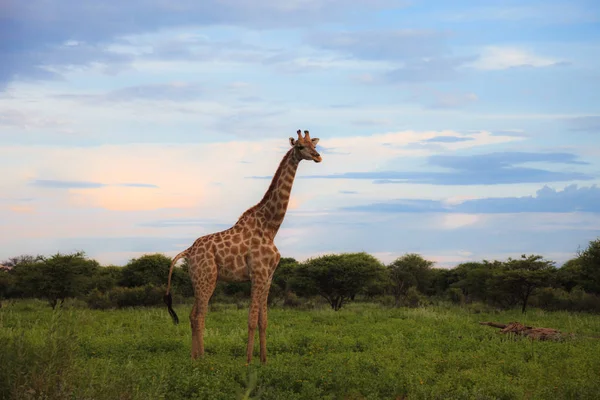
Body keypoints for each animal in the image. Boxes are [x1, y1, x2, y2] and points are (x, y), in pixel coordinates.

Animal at [164, 130, 322, 364]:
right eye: (300, 147)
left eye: (314, 144)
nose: (318, 156)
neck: (270, 227)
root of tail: (188, 251)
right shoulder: (257, 274)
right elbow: (251, 319)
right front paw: (248, 361)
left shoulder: (268, 276)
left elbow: (263, 320)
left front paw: (264, 360)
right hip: (206, 278)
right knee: (200, 316)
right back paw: (204, 359)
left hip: (199, 280)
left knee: (193, 315)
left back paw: (194, 357)